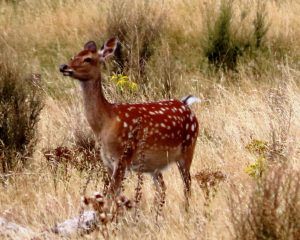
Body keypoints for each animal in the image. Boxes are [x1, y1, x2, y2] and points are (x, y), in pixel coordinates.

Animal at [59, 37, 199, 206]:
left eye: (88, 59)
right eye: (74, 56)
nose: (63, 67)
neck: (105, 123)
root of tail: (186, 104)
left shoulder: (123, 157)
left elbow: (110, 196)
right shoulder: (107, 162)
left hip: (188, 148)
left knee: (187, 185)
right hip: (155, 164)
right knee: (162, 188)